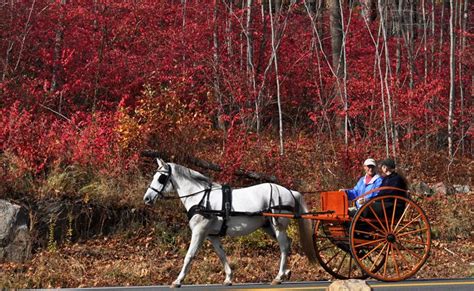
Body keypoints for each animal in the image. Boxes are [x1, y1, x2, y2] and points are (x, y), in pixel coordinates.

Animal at [143, 161, 316, 288]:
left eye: (161, 178)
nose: (147, 199)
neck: (201, 198)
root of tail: (291, 192)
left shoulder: (199, 231)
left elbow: (189, 255)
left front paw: (177, 281)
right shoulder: (212, 235)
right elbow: (221, 255)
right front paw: (228, 278)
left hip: (278, 226)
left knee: (284, 246)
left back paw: (279, 277)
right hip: (269, 227)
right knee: (288, 243)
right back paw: (286, 272)